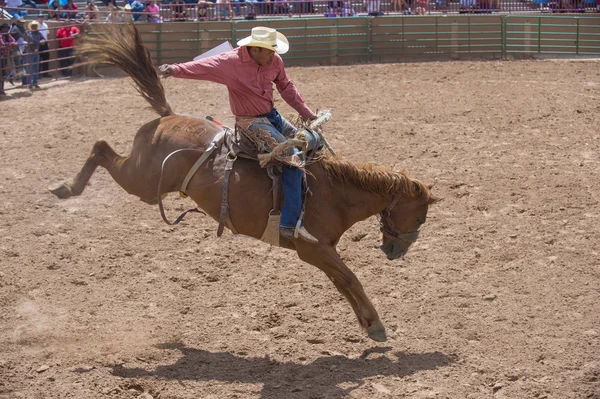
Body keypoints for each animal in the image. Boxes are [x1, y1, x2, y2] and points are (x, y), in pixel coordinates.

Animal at [48, 22, 440, 344]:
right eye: (420, 217)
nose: (397, 251)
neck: (335, 193)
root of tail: (167, 116)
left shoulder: (323, 251)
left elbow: (343, 282)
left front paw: (368, 324)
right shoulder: (313, 248)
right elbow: (349, 279)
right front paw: (376, 325)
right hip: (142, 182)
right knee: (101, 147)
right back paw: (65, 188)